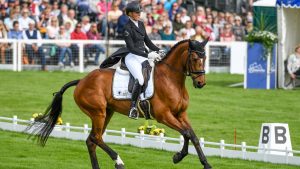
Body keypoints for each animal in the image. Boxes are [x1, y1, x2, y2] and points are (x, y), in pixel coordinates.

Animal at [28, 39, 211, 169]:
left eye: (205, 58)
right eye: (195, 58)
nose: (201, 83)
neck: (171, 80)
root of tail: (81, 81)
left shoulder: (181, 114)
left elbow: (192, 135)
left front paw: (205, 163)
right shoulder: (164, 116)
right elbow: (186, 133)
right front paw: (178, 156)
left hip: (107, 113)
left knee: (92, 140)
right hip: (98, 113)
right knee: (95, 138)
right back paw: (119, 161)